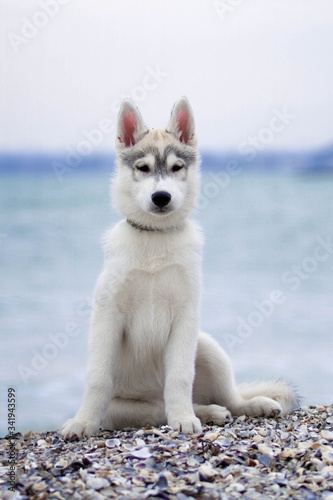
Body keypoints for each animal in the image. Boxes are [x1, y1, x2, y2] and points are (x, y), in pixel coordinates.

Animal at [60, 96, 298, 438]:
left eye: (176, 168)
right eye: (143, 168)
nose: (161, 197)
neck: (155, 240)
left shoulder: (186, 317)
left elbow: (180, 376)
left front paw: (184, 418)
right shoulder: (107, 316)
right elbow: (97, 378)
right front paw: (83, 421)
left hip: (208, 347)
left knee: (228, 397)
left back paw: (247, 406)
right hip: (125, 409)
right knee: (162, 409)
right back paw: (208, 411)